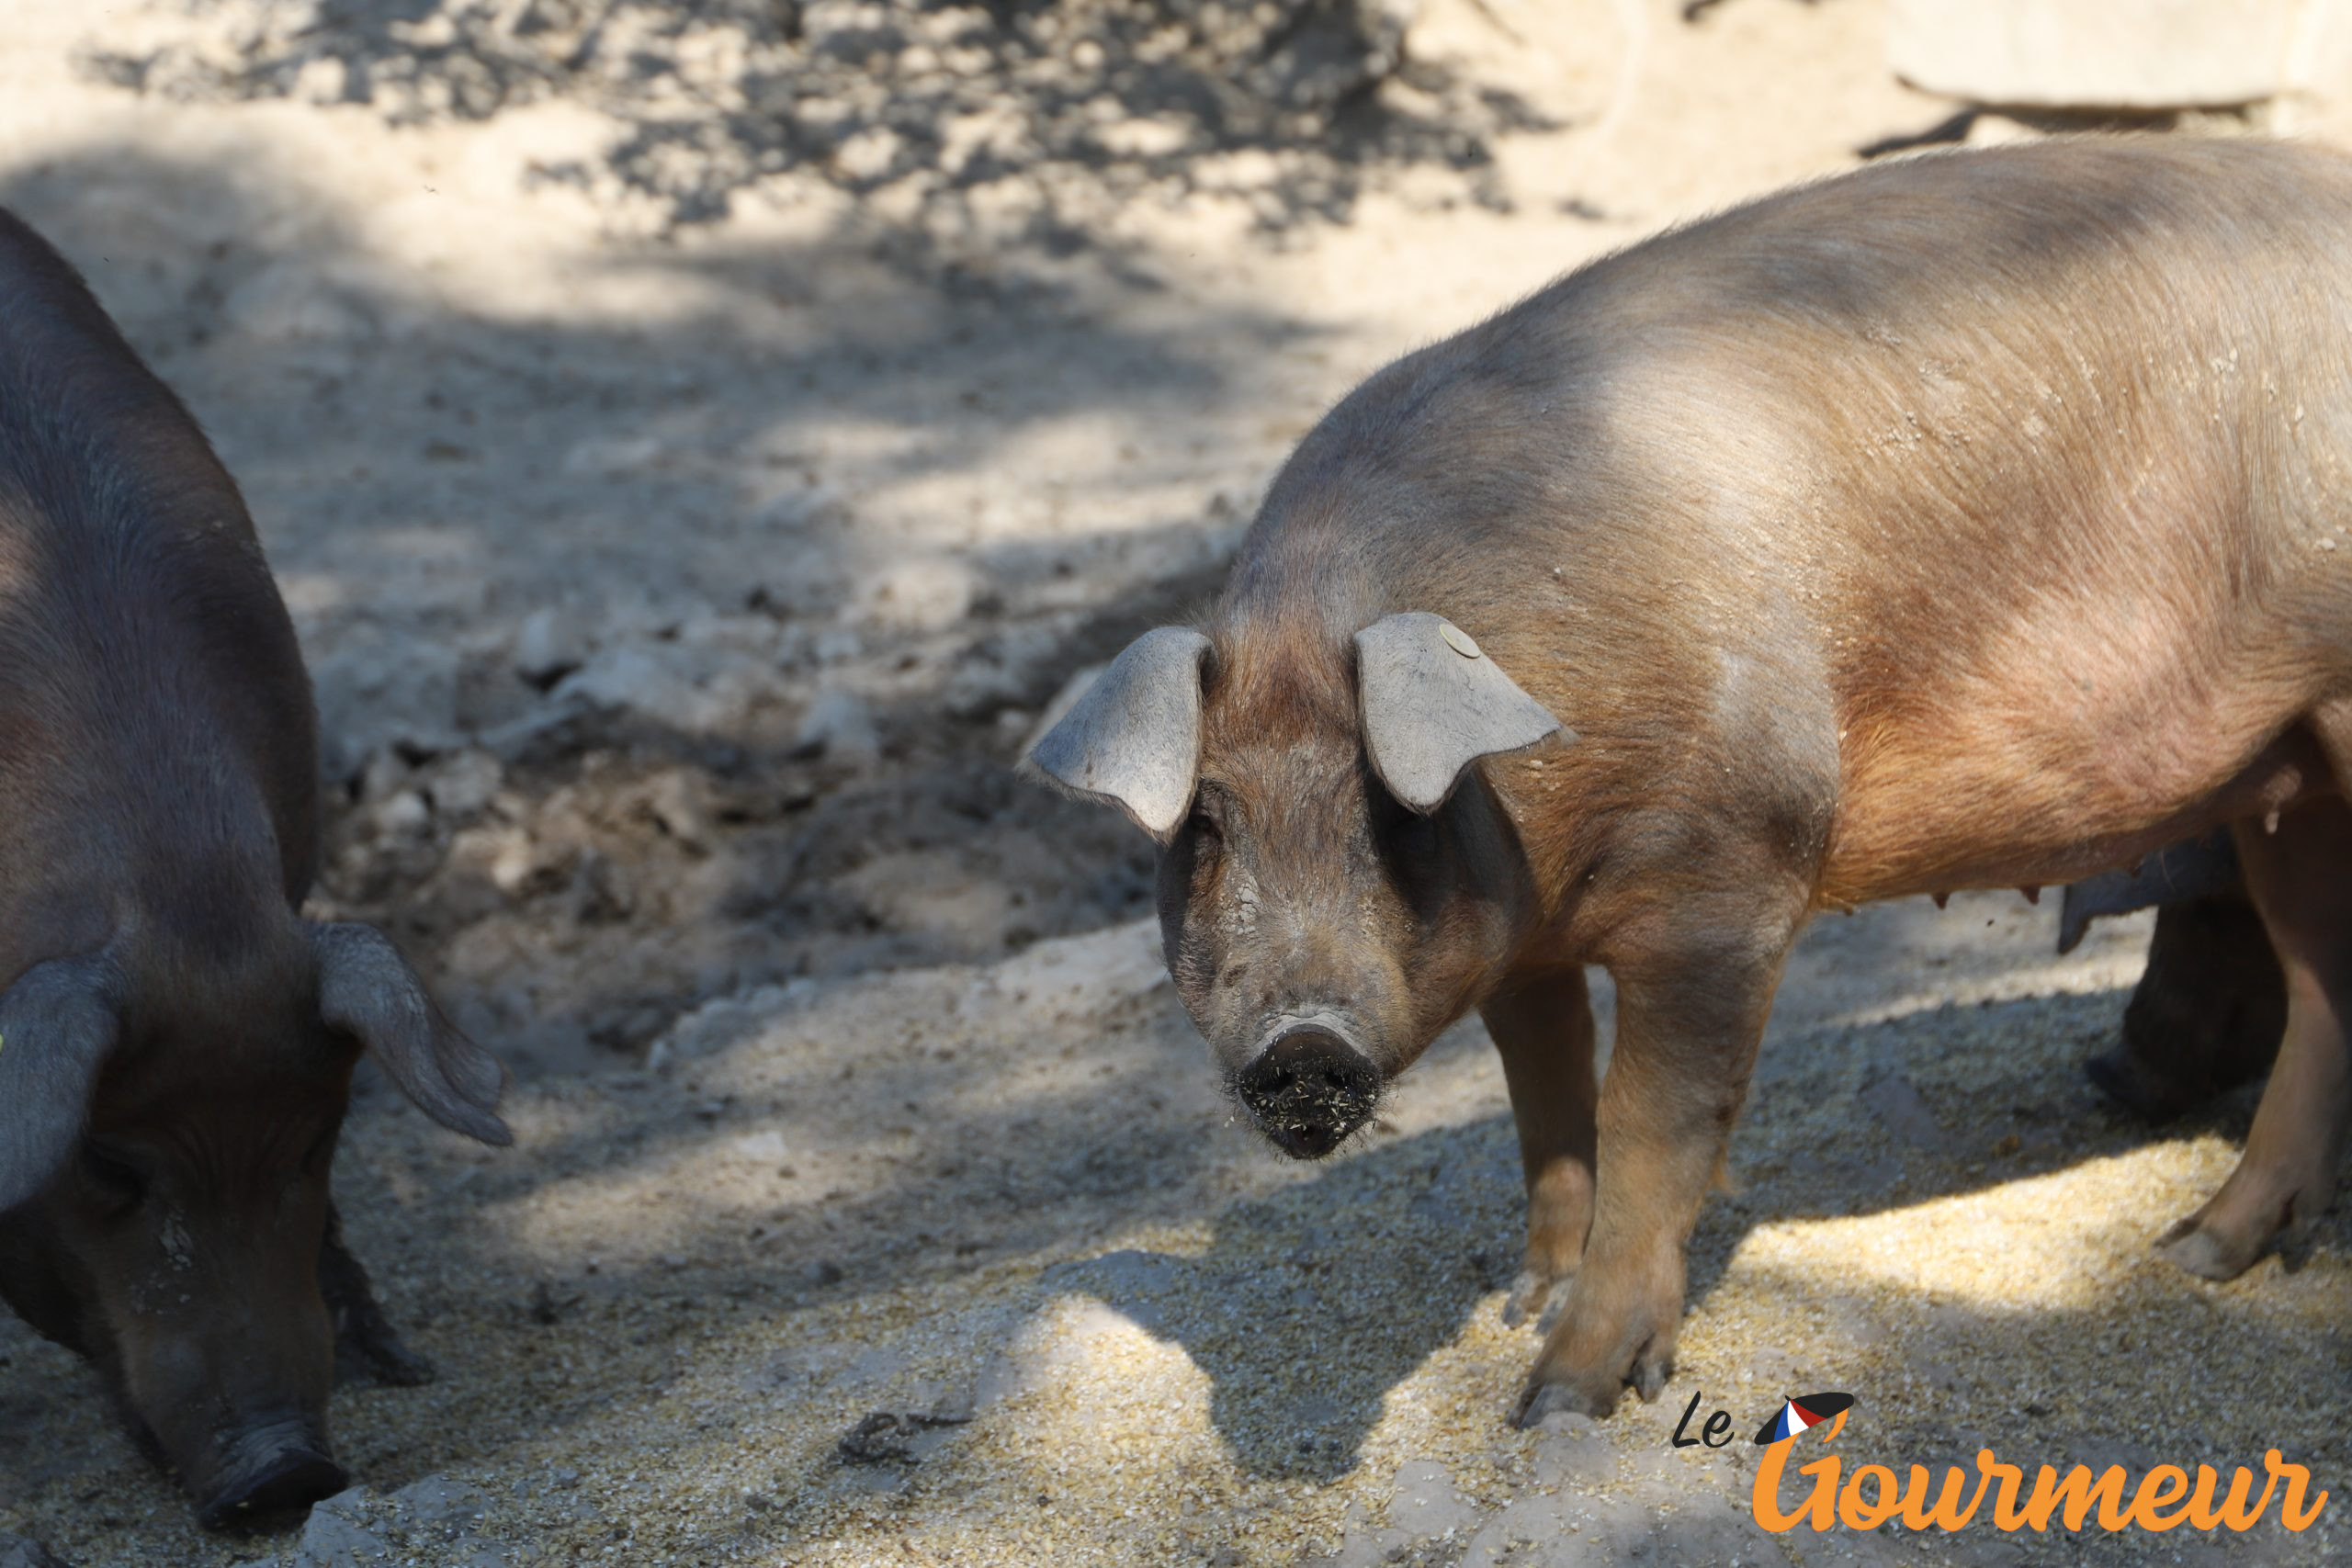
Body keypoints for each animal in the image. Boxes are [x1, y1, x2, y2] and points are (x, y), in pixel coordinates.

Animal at [1039, 141, 2352, 1429]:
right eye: (1206, 824)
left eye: (1391, 814)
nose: (1301, 1039)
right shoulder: (1523, 942)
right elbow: (1545, 1099)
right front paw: (1524, 1302)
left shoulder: (1735, 876)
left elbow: (1651, 1121)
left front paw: (1559, 1403)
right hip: (2288, 778)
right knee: (2317, 982)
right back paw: (2194, 1240)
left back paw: (2186, 1245)